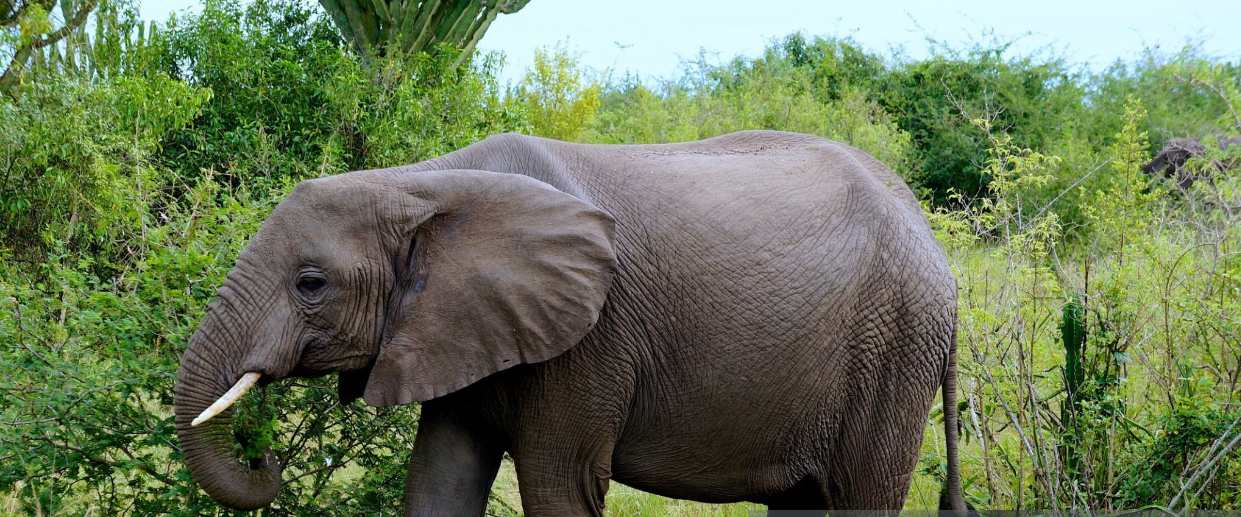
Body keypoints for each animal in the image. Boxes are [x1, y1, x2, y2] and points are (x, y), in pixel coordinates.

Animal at [173, 130, 971, 516]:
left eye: (310, 284)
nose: (266, 461)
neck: (422, 181)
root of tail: (931, 238)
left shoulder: (589, 338)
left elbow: (559, 486)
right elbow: (439, 481)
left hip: (893, 349)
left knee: (858, 498)